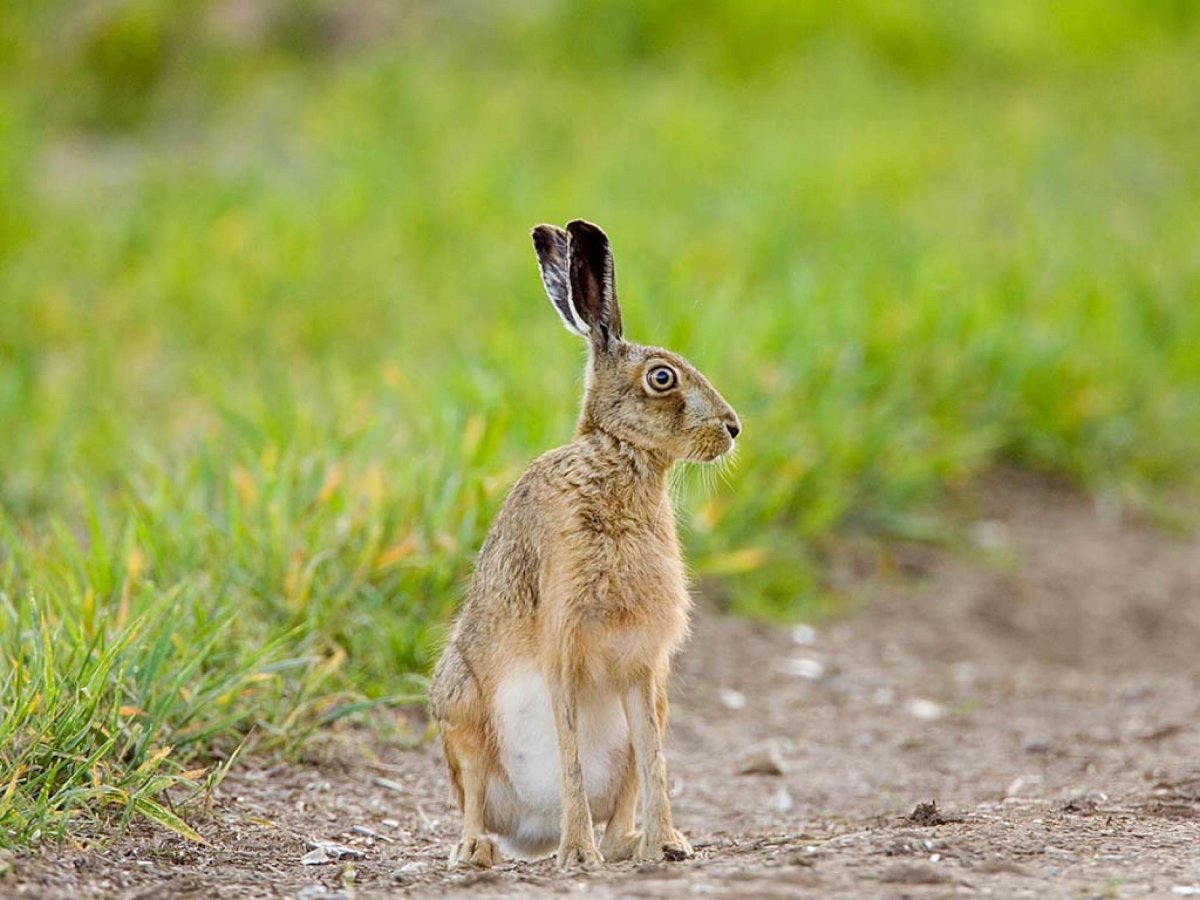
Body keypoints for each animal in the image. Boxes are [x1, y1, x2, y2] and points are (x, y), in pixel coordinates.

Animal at [428, 219, 741, 870]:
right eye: (662, 378)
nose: (733, 429)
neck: (617, 459)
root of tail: (529, 830)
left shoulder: (642, 664)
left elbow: (656, 763)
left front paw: (668, 844)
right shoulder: (563, 647)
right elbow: (569, 756)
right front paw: (578, 855)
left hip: (652, 715)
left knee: (629, 788)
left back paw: (629, 845)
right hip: (460, 706)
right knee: (473, 791)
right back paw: (481, 850)